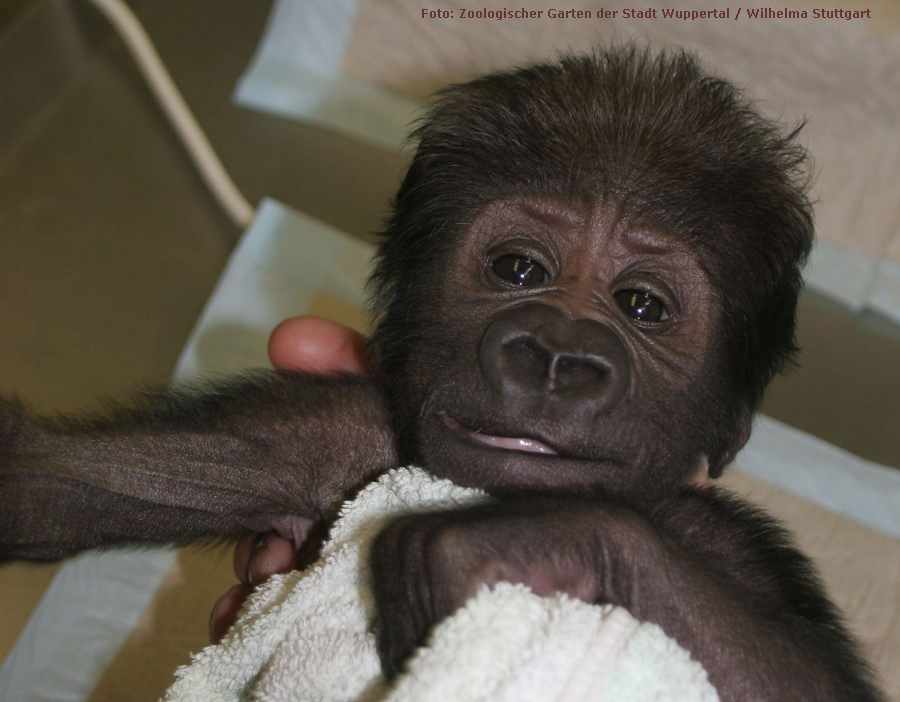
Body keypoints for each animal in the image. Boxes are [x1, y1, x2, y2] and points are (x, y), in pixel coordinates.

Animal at [0, 46, 884, 700]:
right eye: (519, 269)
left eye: (642, 306)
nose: (556, 356)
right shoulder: (332, 436)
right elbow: (56, 486)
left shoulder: (730, 545)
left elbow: (794, 681)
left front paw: (508, 544)